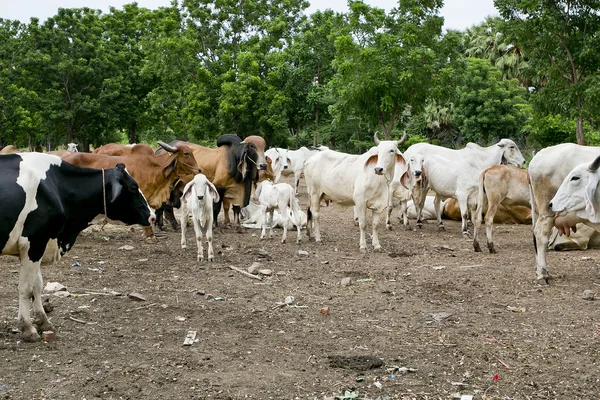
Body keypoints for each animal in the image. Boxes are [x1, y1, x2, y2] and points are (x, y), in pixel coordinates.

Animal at [0, 153, 155, 340]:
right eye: (133, 187)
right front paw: (27, 328)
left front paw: (44, 322)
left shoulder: (41, 243)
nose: (152, 216)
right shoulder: (34, 242)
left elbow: (37, 285)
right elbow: (26, 288)